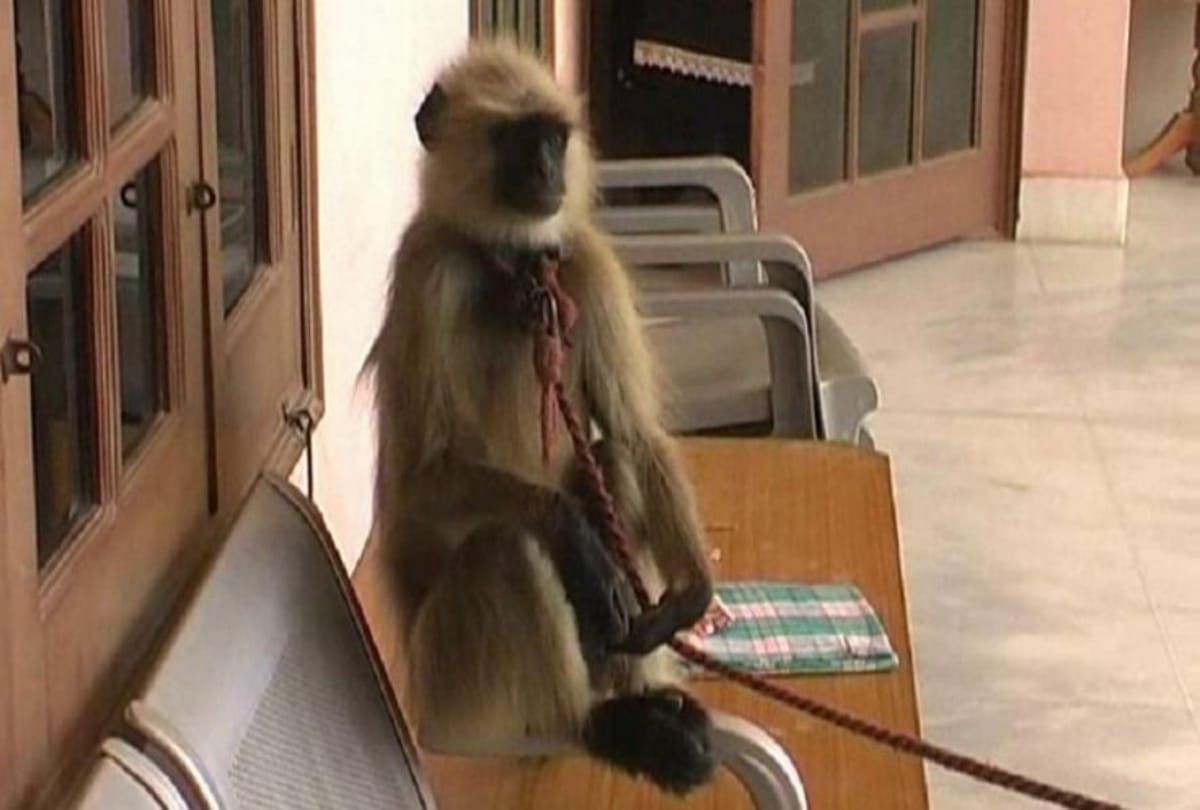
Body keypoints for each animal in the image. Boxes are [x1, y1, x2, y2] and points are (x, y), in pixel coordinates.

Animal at [363, 40, 717, 795]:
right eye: (517, 142)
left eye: (554, 139)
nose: (548, 171)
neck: (514, 270)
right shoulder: (428, 276)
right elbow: (420, 483)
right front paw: (573, 534)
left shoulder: (583, 258)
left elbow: (635, 430)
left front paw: (691, 596)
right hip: (450, 682)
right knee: (507, 546)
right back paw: (606, 727)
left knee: (611, 461)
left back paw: (642, 704)